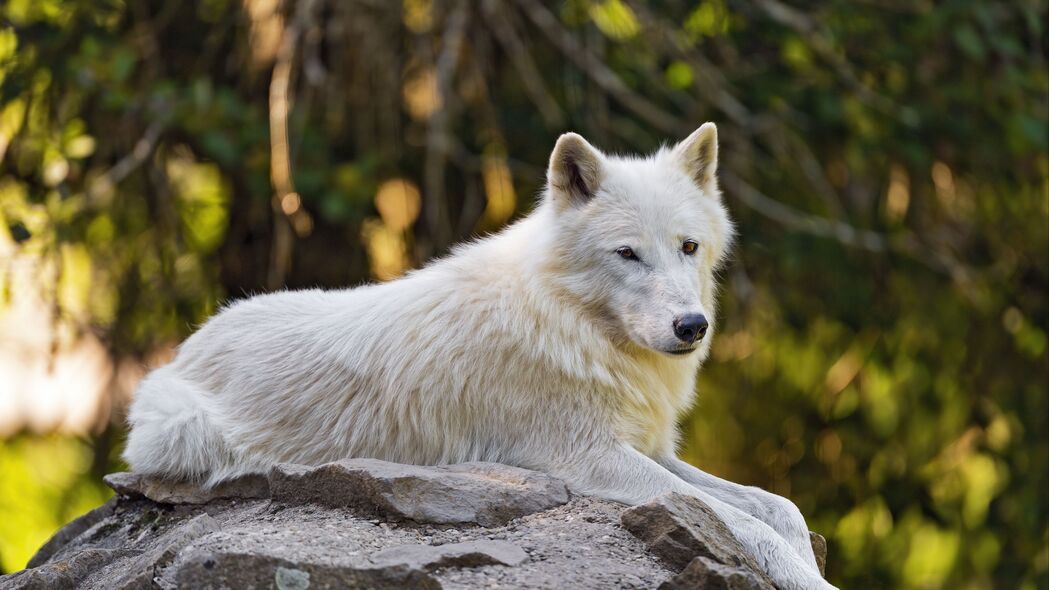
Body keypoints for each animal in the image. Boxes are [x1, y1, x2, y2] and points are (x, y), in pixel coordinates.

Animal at [122, 122, 830, 583]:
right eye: (628, 253)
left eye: (688, 246)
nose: (692, 326)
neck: (574, 325)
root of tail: (189, 345)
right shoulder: (592, 458)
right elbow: (743, 523)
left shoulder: (649, 448)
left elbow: (778, 507)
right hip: (182, 427)